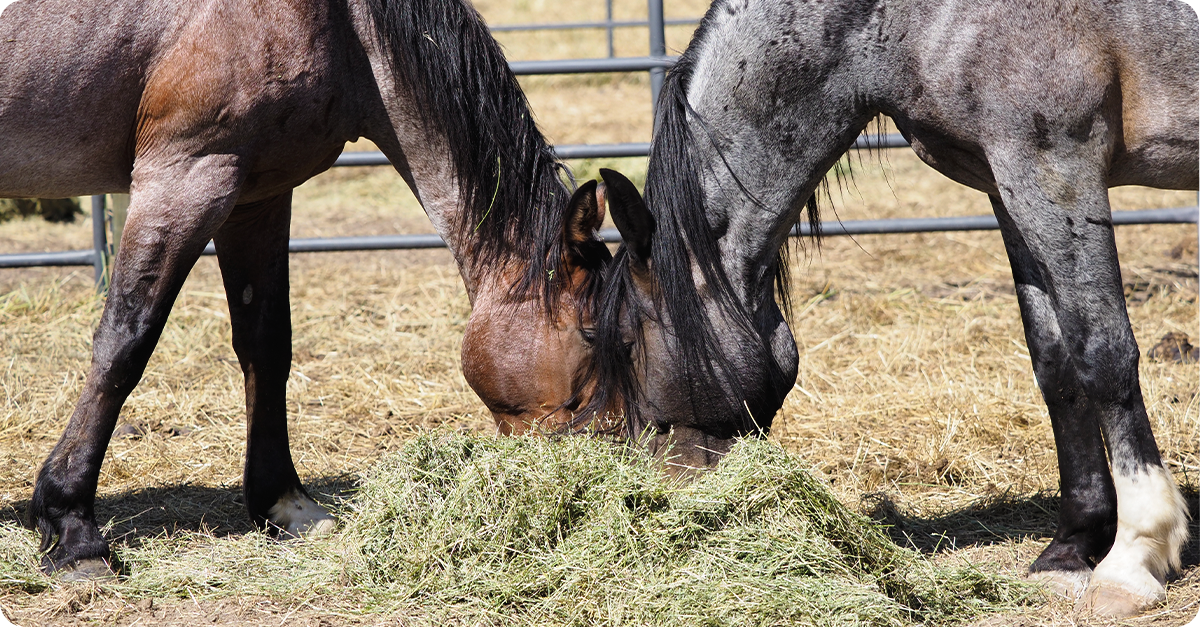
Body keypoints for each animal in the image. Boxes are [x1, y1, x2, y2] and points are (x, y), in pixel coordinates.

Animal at [4, 0, 609, 581]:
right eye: (592, 335)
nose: (608, 456)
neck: (343, 23)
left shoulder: (257, 196)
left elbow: (267, 346)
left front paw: (284, 503)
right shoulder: (187, 177)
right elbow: (125, 343)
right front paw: (73, 528)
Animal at [590, 0, 1190, 619]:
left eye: (628, 344)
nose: (665, 486)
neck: (911, 20)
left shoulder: (1057, 170)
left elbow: (1101, 354)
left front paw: (1132, 558)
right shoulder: (1008, 185)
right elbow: (1056, 363)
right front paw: (1070, 550)